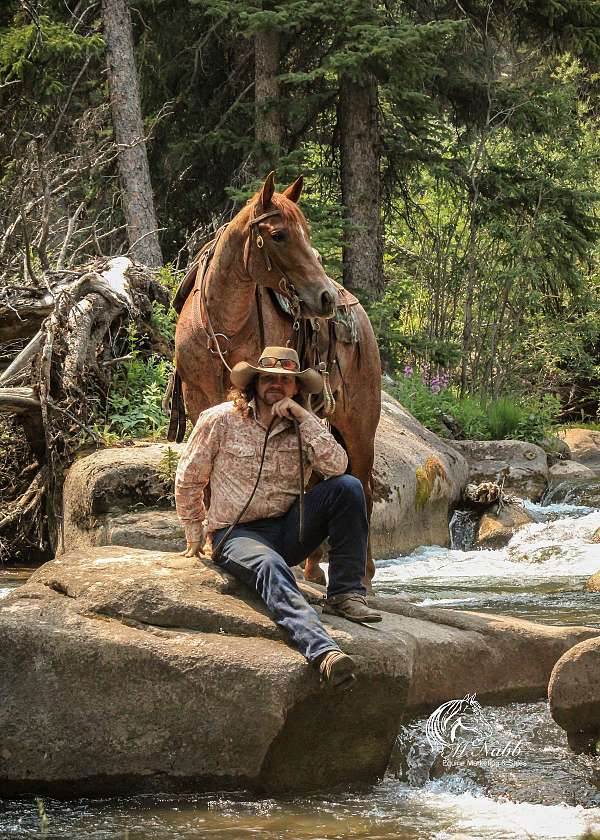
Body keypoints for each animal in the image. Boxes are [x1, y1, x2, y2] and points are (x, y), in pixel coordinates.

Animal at [171, 171, 382, 584]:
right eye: (279, 235)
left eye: (308, 232)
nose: (324, 297)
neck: (225, 325)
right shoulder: (197, 398)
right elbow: (207, 473)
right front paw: (206, 543)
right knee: (320, 478)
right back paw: (313, 568)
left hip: (359, 425)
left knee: (362, 487)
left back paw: (364, 575)